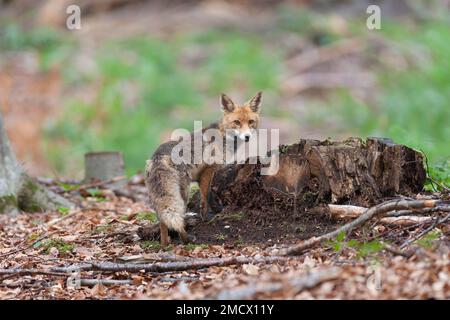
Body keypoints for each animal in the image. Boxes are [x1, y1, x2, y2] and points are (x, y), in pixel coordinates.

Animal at [144, 92, 264, 245]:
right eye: (237, 122)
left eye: (250, 122)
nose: (247, 136)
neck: (223, 137)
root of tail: (158, 156)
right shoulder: (208, 171)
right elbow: (205, 197)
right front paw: (207, 218)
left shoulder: (201, 176)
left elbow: (210, 195)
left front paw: (217, 210)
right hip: (183, 192)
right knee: (177, 217)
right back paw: (186, 239)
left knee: (162, 220)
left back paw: (165, 243)